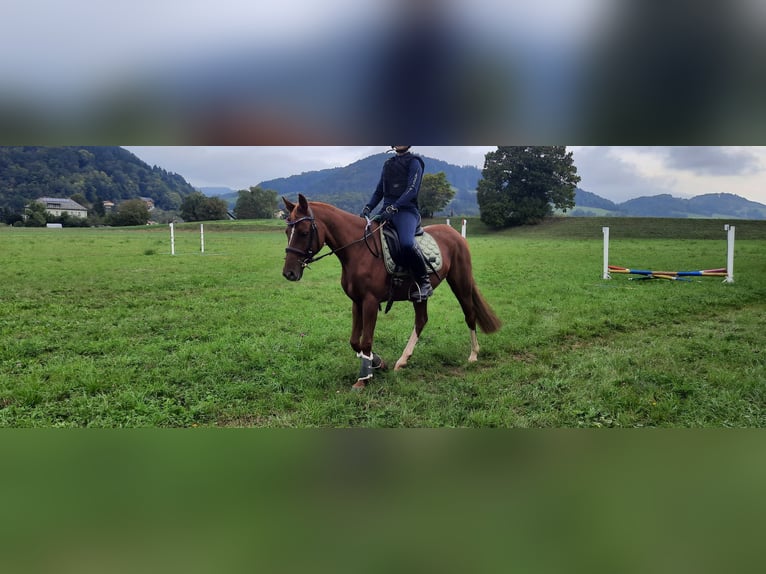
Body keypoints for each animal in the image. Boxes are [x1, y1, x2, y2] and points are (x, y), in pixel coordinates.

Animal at [282, 193, 501, 389]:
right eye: (286, 231)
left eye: (303, 232)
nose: (289, 273)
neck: (359, 250)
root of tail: (455, 234)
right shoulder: (357, 302)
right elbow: (354, 341)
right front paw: (378, 363)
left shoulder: (370, 302)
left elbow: (366, 341)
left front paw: (363, 379)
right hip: (420, 295)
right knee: (421, 320)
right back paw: (402, 360)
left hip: (460, 282)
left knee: (469, 313)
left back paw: (473, 354)